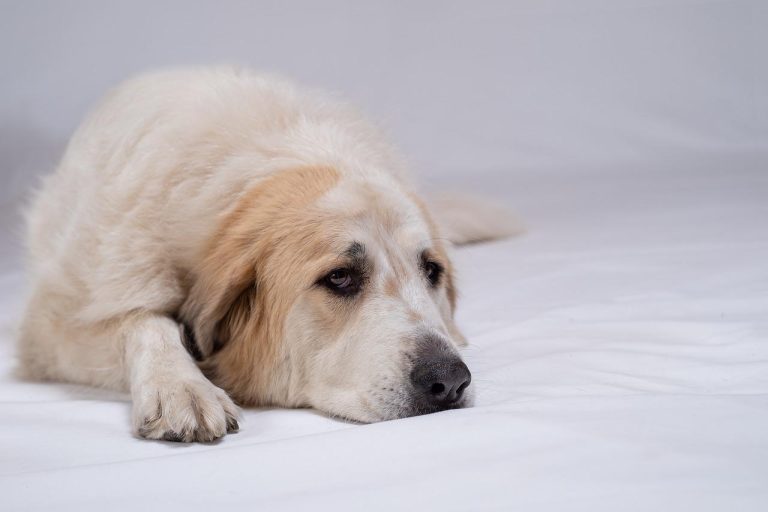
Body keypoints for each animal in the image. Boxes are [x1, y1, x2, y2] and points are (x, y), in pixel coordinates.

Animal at [16, 68, 516, 442]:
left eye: (431, 270)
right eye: (339, 277)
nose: (450, 379)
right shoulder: (54, 328)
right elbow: (142, 321)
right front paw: (181, 387)